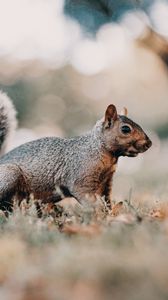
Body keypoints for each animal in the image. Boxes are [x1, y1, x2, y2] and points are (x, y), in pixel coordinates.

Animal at [0, 90, 152, 212]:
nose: (149, 143)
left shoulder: (106, 182)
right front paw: (97, 214)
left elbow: (106, 199)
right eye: (125, 129)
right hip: (10, 175)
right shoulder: (81, 178)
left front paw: (110, 213)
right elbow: (86, 197)